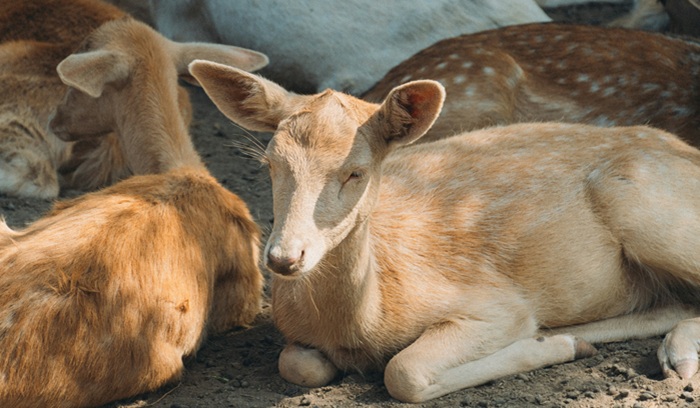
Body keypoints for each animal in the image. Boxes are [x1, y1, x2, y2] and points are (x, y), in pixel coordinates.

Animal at [190, 60, 700, 403]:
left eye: (356, 171)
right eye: (269, 163)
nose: (284, 257)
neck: (364, 320)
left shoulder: (496, 303)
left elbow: (404, 372)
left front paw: (549, 344)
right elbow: (297, 363)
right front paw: (562, 341)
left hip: (646, 209)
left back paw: (672, 357)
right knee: (673, 301)